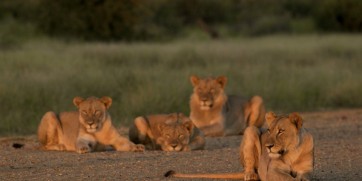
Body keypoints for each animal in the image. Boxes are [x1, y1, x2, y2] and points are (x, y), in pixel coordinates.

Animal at [165, 111, 314, 181]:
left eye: (281, 131)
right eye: (269, 131)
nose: (268, 146)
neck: (292, 151)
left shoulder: (307, 169)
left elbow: (306, 176)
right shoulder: (272, 171)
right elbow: (287, 178)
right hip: (250, 130)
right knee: (249, 168)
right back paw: (251, 175)